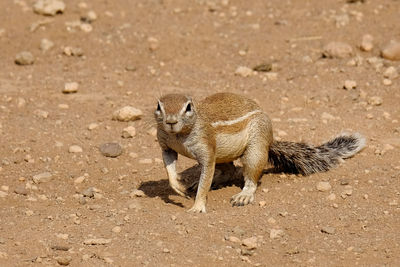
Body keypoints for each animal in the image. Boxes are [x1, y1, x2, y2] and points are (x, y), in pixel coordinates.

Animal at [155, 92, 368, 214]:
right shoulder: (165, 145)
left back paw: (243, 195)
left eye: (188, 107)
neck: (178, 136)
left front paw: (198, 206)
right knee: (228, 171)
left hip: (255, 150)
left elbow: (206, 175)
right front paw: (178, 186)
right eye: (159, 106)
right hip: (223, 153)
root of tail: (270, 141)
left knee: (250, 176)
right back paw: (199, 184)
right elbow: (169, 166)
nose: (171, 121)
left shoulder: (206, 149)